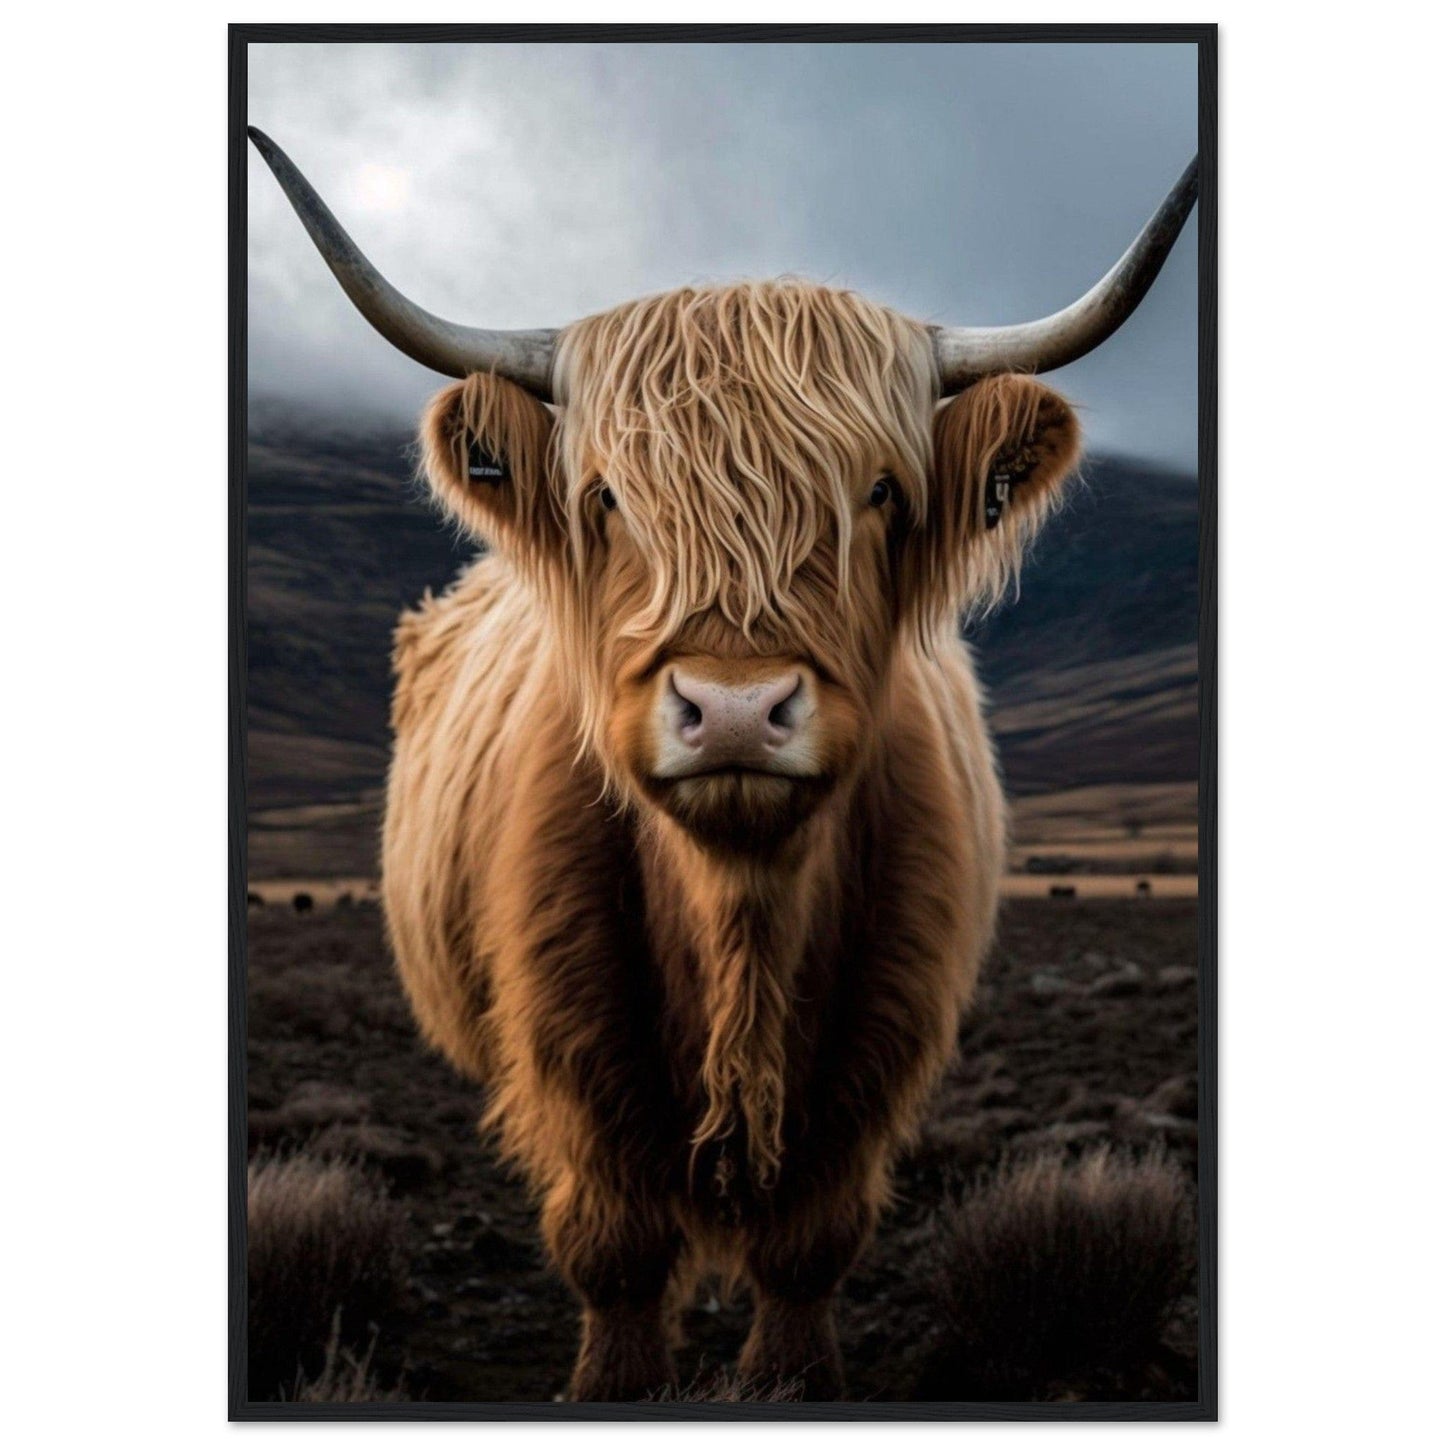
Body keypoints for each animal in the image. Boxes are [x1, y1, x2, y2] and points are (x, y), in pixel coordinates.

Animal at [250, 128, 1197, 1401]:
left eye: (879, 491)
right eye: (606, 495)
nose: (737, 710)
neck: (737, 916)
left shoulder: (879, 1046)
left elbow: (808, 1247)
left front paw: (790, 1374)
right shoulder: (567, 1049)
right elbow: (613, 1250)